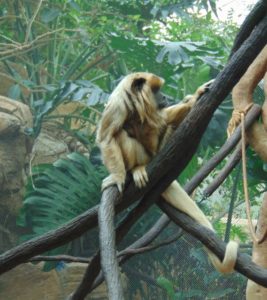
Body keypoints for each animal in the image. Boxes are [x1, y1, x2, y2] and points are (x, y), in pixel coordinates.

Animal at [97, 72, 240, 274]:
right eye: (157, 90)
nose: (164, 97)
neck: (135, 103)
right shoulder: (118, 104)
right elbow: (107, 137)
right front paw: (118, 177)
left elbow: (163, 118)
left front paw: (196, 96)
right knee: (121, 133)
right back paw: (136, 169)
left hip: (158, 149)